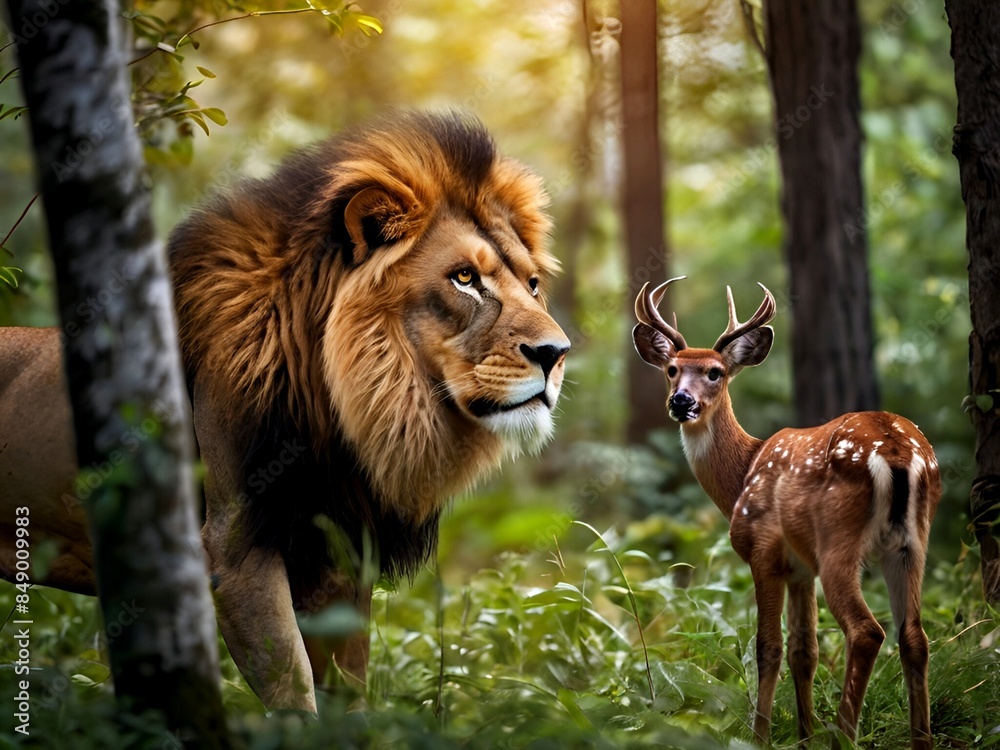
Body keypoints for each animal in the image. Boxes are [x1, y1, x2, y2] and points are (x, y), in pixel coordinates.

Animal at [0, 110, 570, 712]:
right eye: (464, 278)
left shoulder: (339, 557)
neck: (338, 409)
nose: (556, 353)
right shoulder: (235, 550)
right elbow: (292, 693)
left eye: (533, 284)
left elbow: (348, 693)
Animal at [632, 277, 940, 749]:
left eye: (715, 372)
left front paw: (761, 735)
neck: (743, 473)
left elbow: (768, 648)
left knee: (867, 631)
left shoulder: (764, 552)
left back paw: (844, 735)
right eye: (671, 369)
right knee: (915, 636)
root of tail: (897, 452)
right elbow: (803, 651)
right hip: (911, 544)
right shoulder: (800, 569)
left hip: (838, 543)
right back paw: (918, 739)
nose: (681, 401)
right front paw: (803, 736)